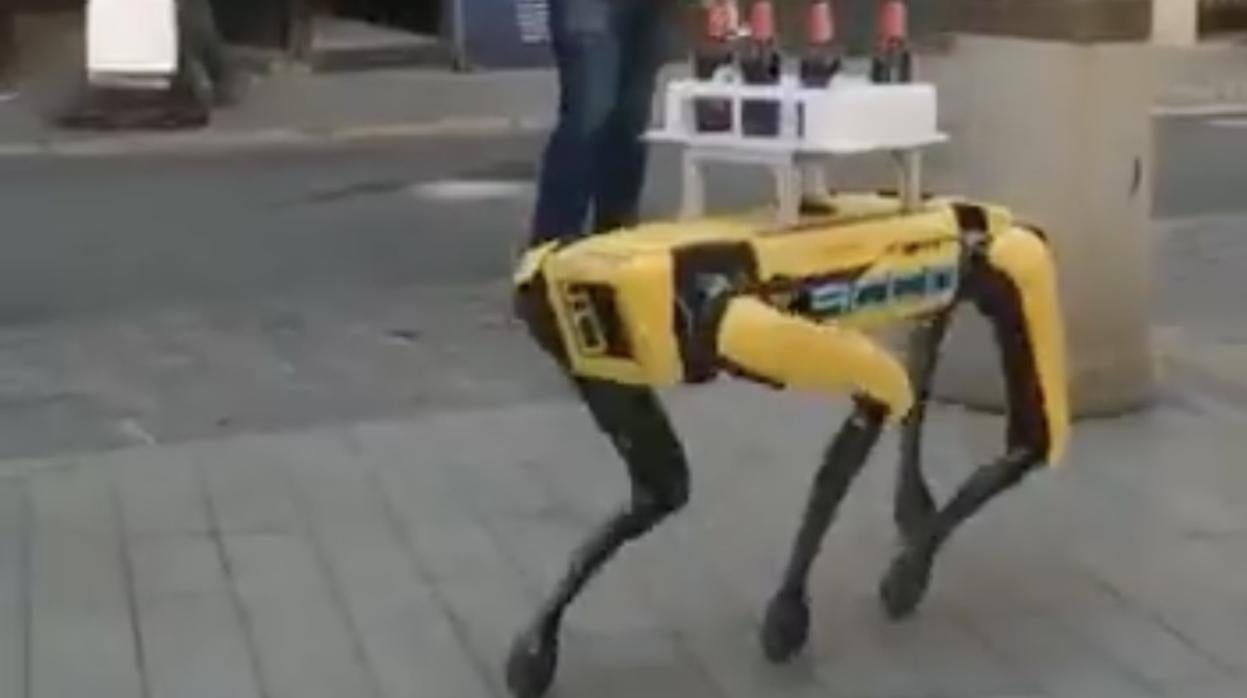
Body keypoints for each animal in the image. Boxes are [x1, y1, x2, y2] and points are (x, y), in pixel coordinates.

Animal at [501, 190, 1067, 698]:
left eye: (587, 310)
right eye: (563, 313)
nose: (539, 297)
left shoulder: (734, 322)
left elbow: (871, 410)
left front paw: (794, 612)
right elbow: (657, 494)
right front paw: (534, 649)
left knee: (1028, 434)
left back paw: (914, 550)